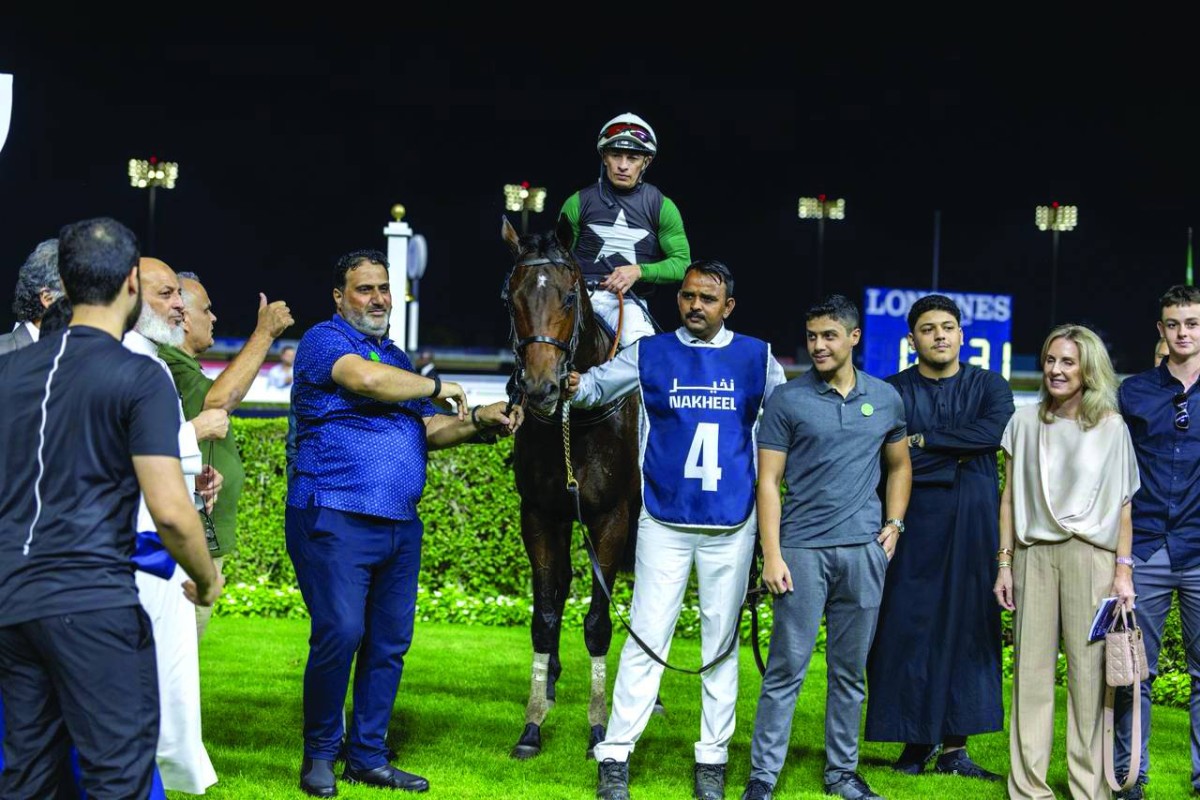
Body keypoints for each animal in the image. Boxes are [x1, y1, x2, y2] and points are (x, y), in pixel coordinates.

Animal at [500, 214, 642, 760]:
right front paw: (532, 724)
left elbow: (600, 623)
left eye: (566, 296)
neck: (574, 419)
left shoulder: (613, 517)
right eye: (510, 296)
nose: (540, 387)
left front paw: (600, 728)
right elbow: (544, 614)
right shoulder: (540, 514)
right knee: (558, 588)